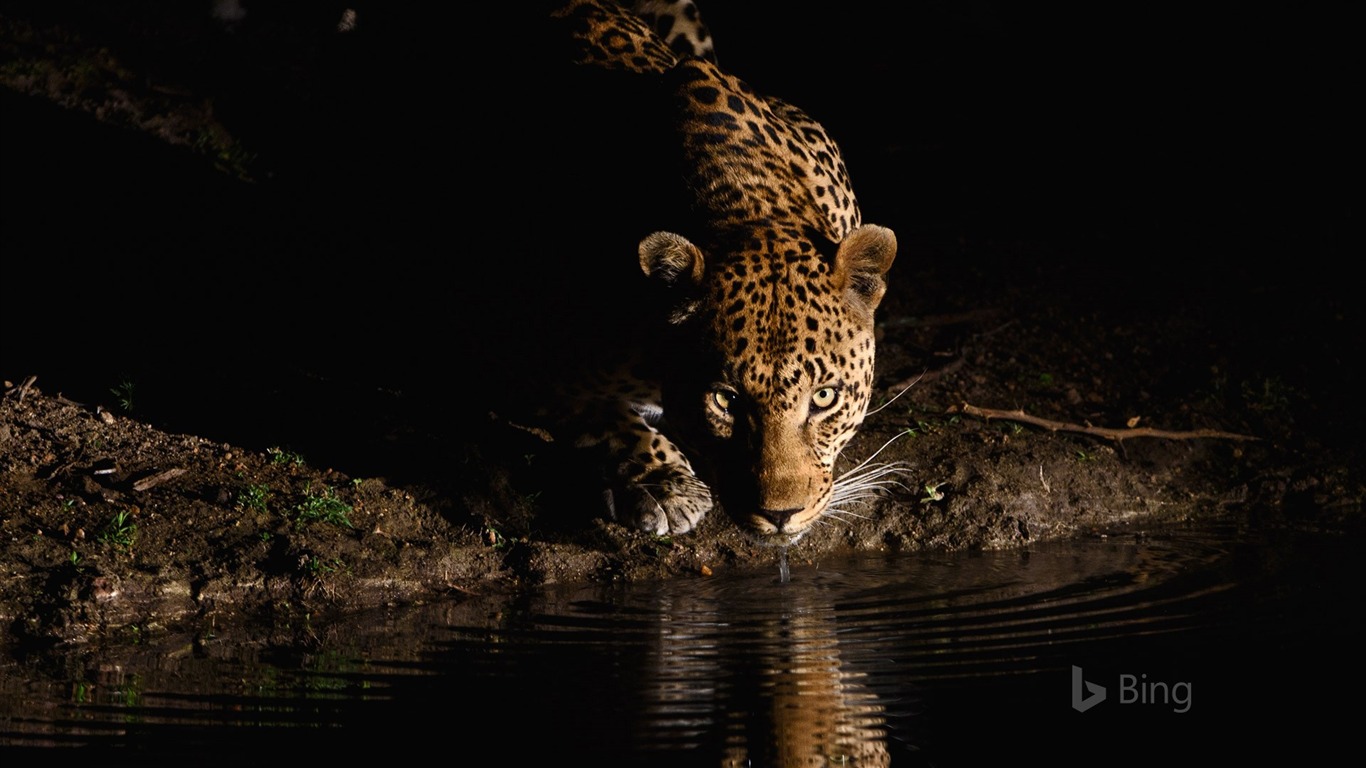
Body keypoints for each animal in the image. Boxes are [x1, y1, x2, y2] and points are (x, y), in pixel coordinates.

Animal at [502, 0, 899, 547]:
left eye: (824, 398)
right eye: (725, 400)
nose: (781, 514)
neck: (745, 207)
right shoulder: (527, 357)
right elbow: (605, 419)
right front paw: (664, 485)